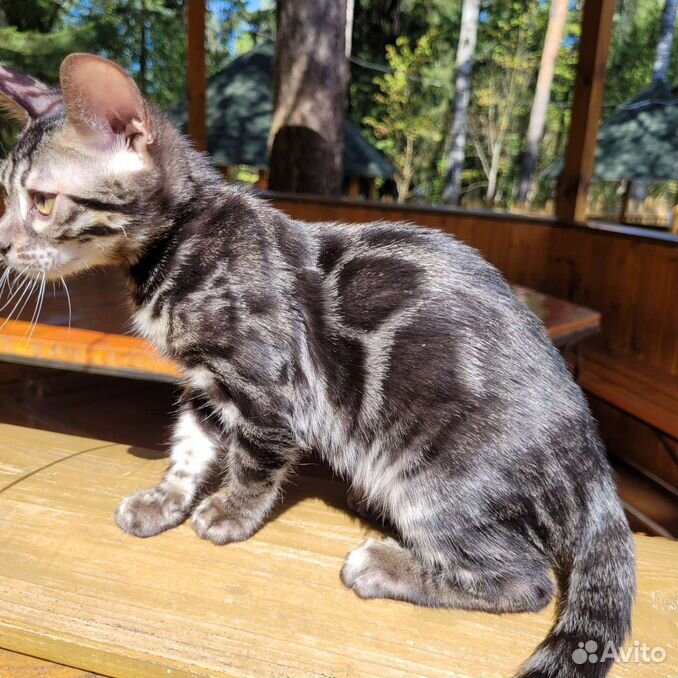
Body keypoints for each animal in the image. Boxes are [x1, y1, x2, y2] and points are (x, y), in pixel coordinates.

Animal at [0, 54, 636, 678]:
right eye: (5, 196)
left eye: (41, 201)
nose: (1, 245)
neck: (179, 247)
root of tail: (593, 462)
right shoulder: (206, 384)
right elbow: (188, 447)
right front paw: (165, 500)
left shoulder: (268, 389)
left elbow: (254, 464)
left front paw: (229, 513)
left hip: (435, 478)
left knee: (525, 581)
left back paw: (383, 566)